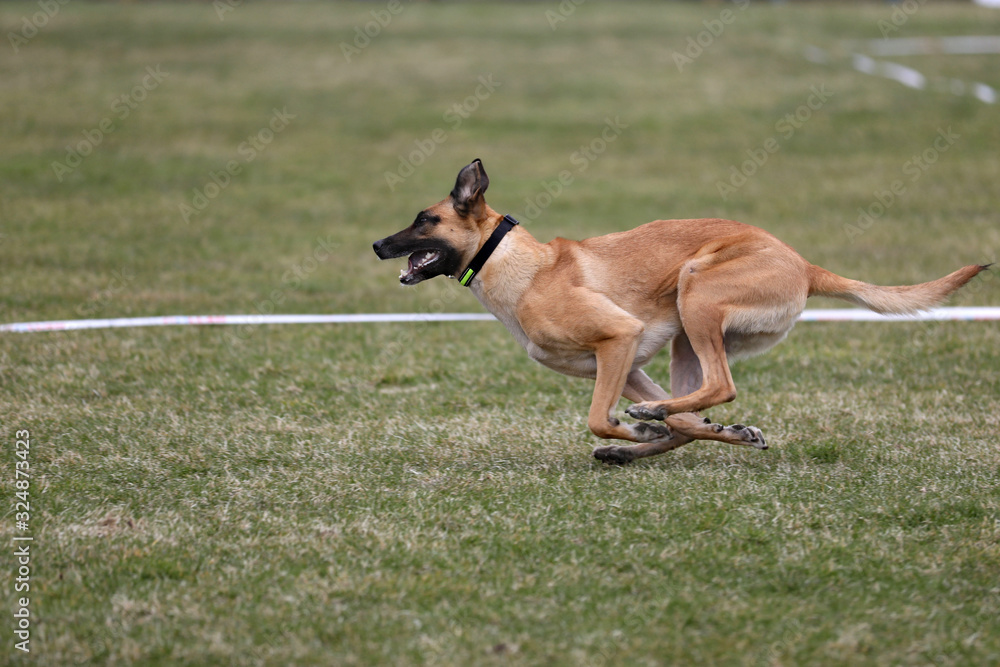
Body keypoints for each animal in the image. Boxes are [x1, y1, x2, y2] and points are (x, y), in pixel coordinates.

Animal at [374, 160, 984, 464]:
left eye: (424, 220)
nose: (378, 245)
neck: (517, 265)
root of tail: (804, 264)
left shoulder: (619, 338)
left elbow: (600, 417)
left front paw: (635, 427)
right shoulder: (624, 364)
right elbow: (674, 421)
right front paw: (670, 432)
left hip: (697, 292)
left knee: (720, 386)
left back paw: (651, 425)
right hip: (685, 339)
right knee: (696, 407)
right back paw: (673, 435)